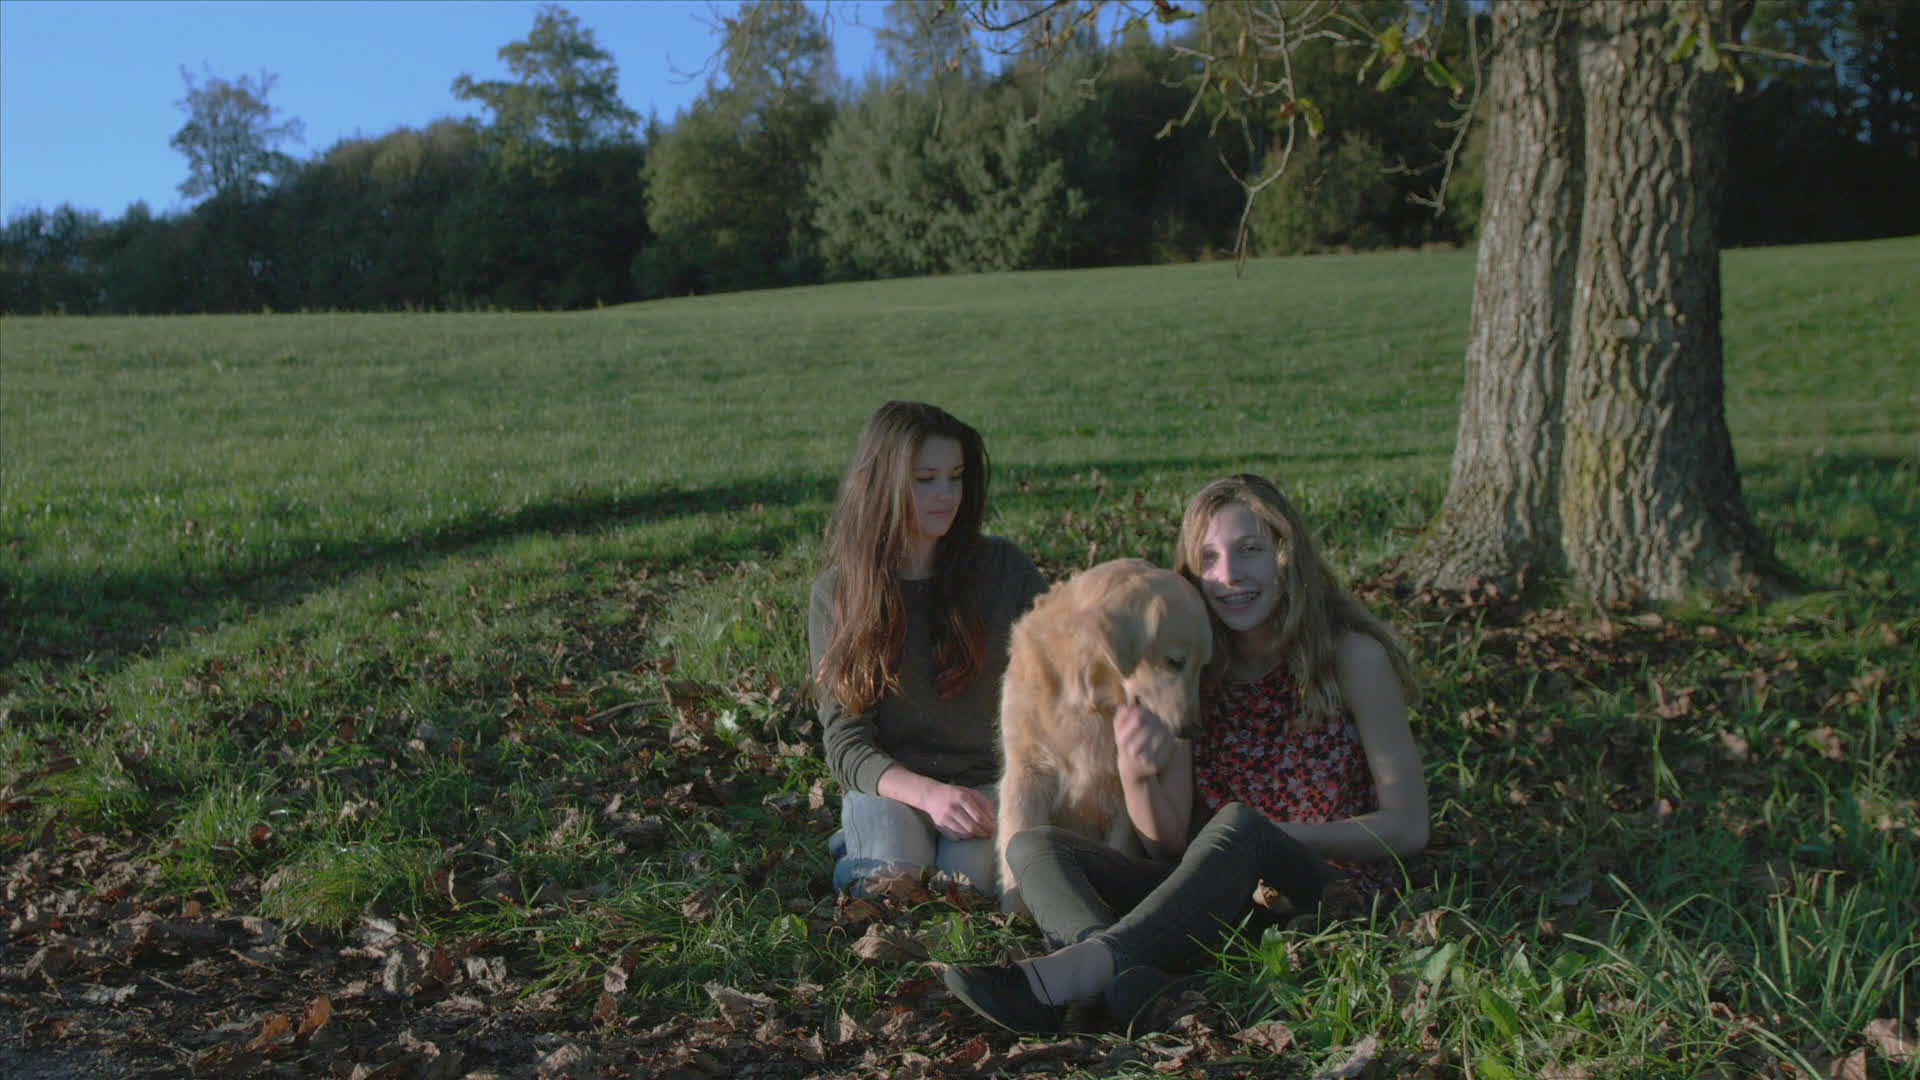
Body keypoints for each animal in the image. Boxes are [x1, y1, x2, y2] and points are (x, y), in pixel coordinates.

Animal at [995, 558, 1213, 899]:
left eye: (1204, 667)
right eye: (1176, 661)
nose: (1192, 730)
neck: (1088, 699)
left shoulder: (1118, 791)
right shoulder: (1028, 766)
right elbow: (1017, 829)